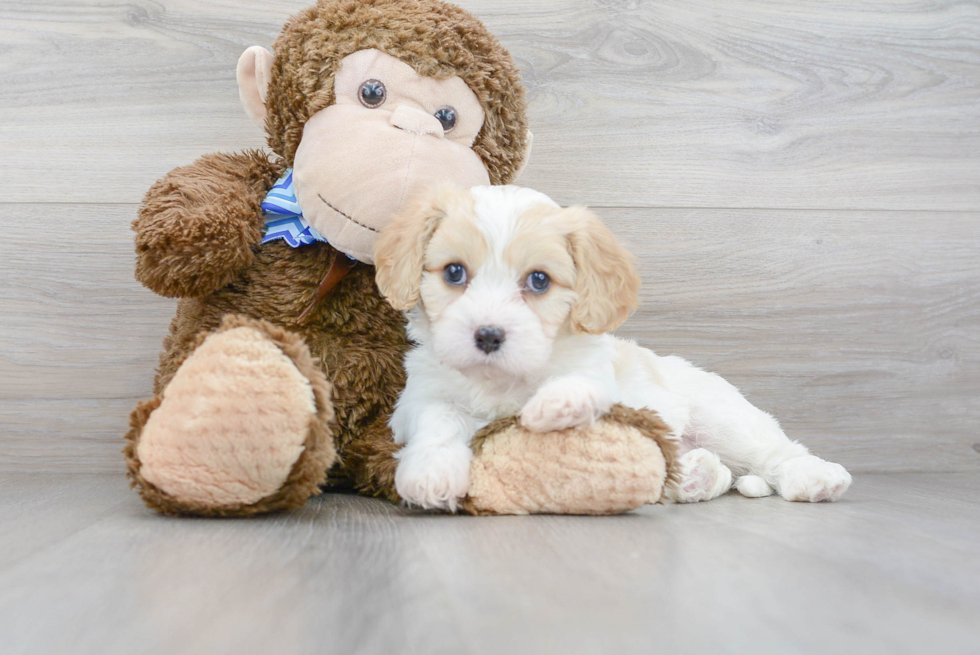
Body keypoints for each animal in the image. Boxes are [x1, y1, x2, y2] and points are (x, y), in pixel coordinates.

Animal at [376, 184, 848, 512]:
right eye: (454, 272)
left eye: (539, 280)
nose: (489, 335)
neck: (502, 382)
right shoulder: (419, 397)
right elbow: (438, 420)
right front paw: (432, 472)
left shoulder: (604, 380)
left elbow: (584, 386)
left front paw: (557, 403)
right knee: (717, 471)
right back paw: (694, 476)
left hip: (725, 419)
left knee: (775, 453)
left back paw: (815, 477)